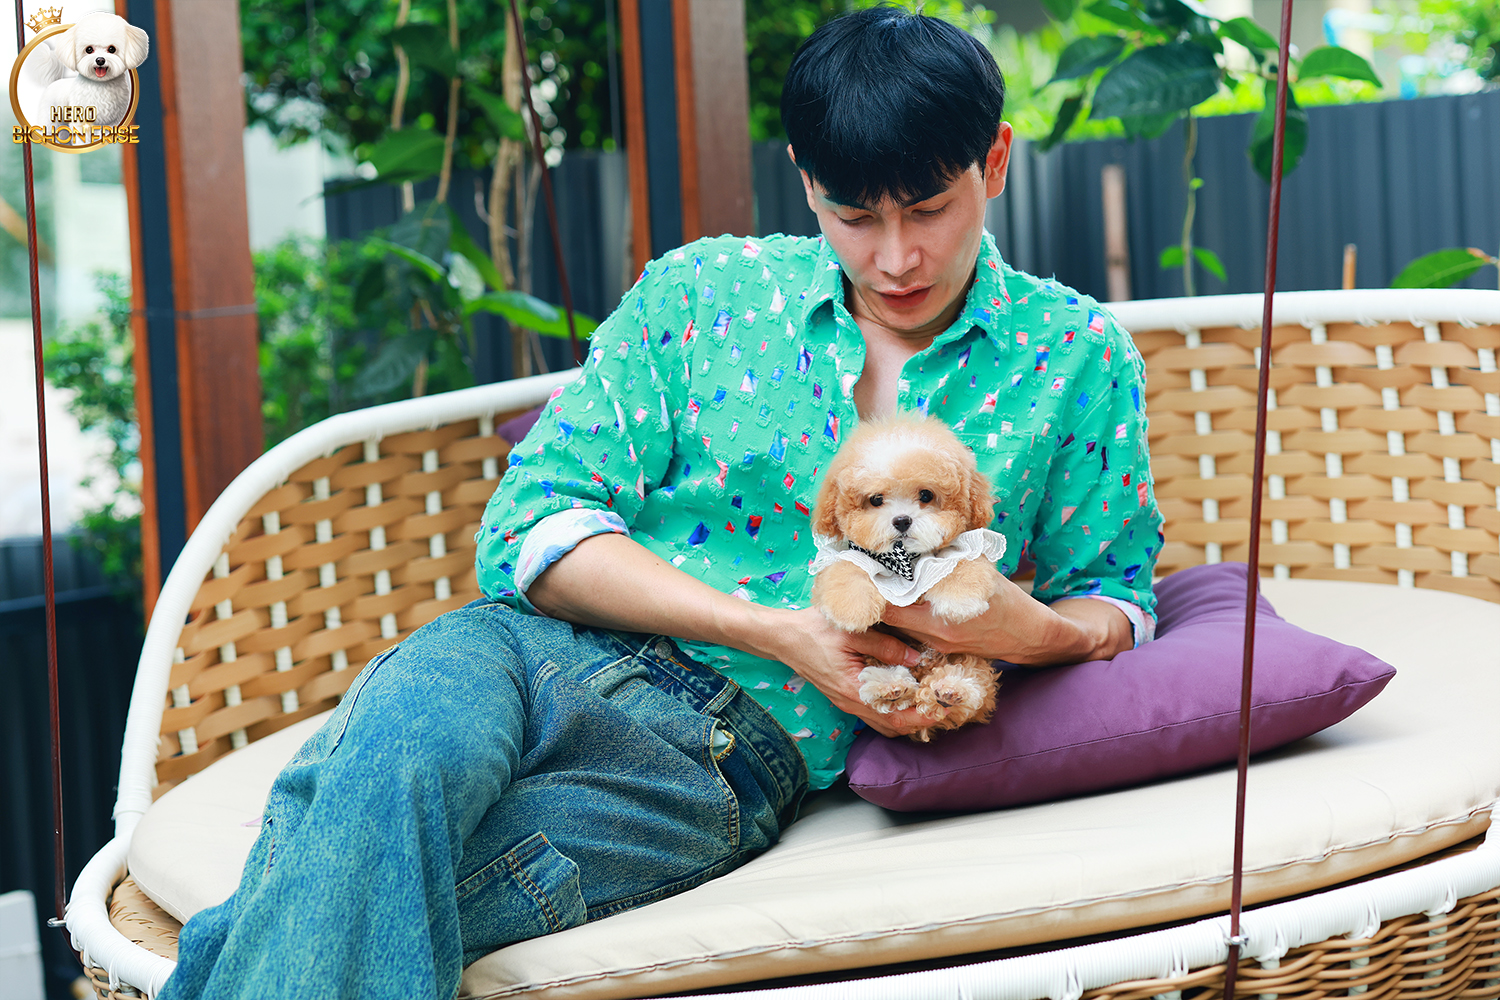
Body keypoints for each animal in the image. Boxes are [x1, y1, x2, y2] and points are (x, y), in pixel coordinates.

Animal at [809, 414, 1006, 741]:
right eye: (876, 499)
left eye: (926, 495)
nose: (902, 520)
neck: (905, 562)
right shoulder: (848, 555)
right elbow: (845, 570)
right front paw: (851, 611)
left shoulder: (964, 546)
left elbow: (964, 562)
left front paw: (960, 602)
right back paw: (890, 686)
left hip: (966, 662)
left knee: (974, 681)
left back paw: (951, 690)